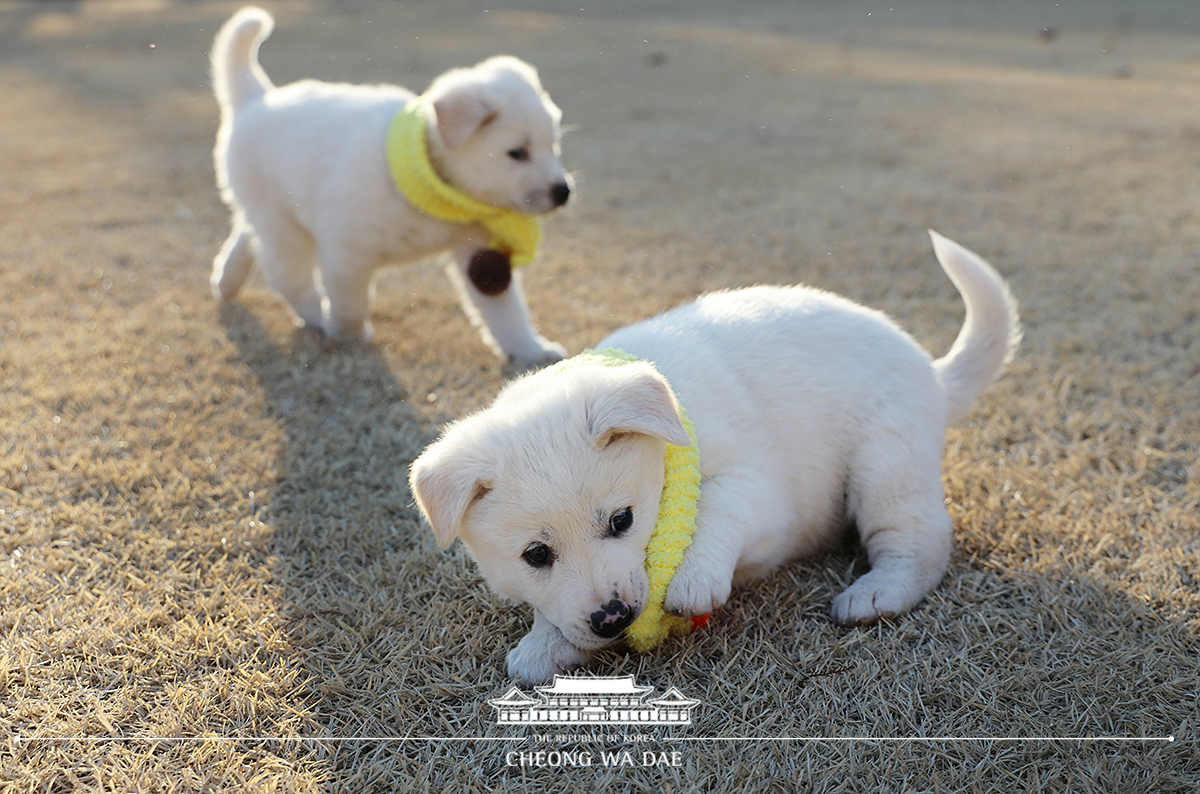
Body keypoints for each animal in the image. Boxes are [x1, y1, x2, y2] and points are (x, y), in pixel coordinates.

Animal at [210, 3, 571, 359]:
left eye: (553, 144)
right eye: (517, 153)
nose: (563, 192)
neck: (428, 183)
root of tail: (257, 99)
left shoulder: (478, 252)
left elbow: (507, 313)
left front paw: (531, 349)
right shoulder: (347, 255)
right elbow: (351, 305)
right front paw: (348, 336)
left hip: (267, 216)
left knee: (246, 235)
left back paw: (226, 280)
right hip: (282, 226)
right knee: (286, 276)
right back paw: (316, 315)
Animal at [412, 230, 1022, 686]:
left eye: (622, 521)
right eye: (535, 555)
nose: (613, 619)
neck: (671, 432)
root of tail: (935, 375)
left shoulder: (758, 491)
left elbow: (715, 511)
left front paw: (692, 579)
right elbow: (553, 608)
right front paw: (545, 643)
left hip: (885, 465)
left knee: (919, 543)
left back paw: (875, 594)